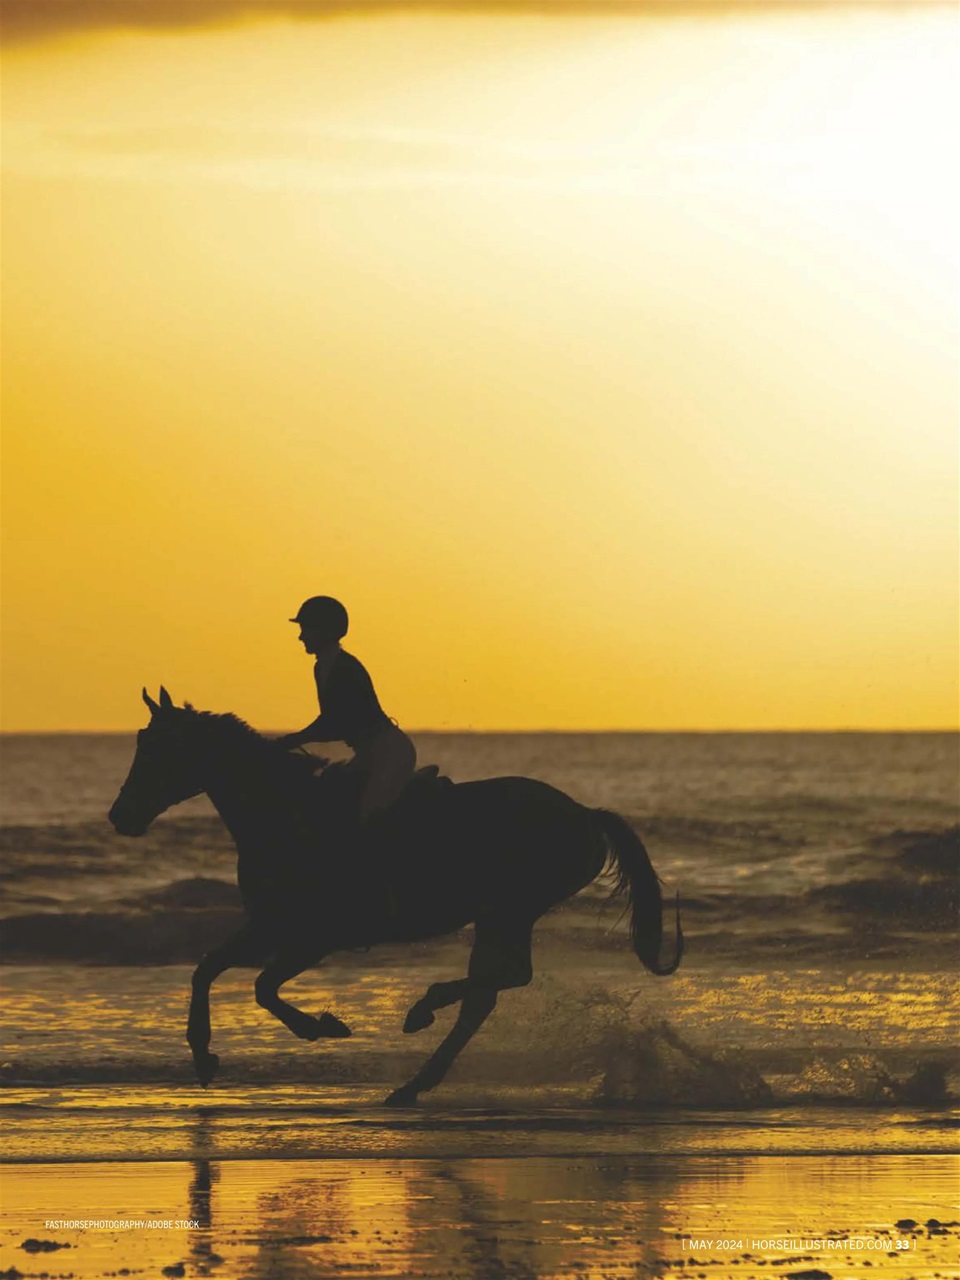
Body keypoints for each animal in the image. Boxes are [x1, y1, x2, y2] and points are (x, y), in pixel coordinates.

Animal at [108, 687, 683, 1106]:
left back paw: (420, 1022)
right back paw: (414, 1073)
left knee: (497, 984)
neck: (287, 815)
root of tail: (585, 814)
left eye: (157, 749)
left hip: (509, 909)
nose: (120, 815)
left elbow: (262, 988)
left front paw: (322, 1026)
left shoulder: (316, 936)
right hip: (501, 914)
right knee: (495, 987)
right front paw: (204, 1056)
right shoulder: (270, 925)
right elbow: (208, 969)